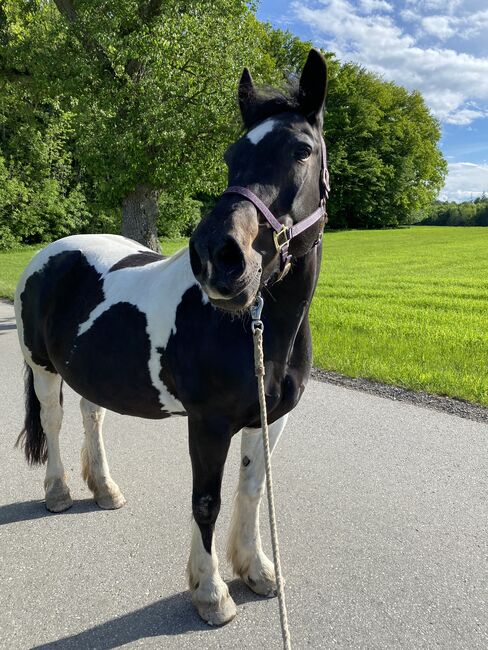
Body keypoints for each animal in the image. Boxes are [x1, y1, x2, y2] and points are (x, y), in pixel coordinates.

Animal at [14, 48, 328, 624]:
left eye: (301, 149)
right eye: (230, 155)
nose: (219, 258)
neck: (260, 331)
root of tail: (50, 253)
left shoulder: (271, 419)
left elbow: (252, 488)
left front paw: (257, 570)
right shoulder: (207, 425)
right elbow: (207, 501)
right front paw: (211, 592)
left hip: (91, 372)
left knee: (92, 416)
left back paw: (105, 488)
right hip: (43, 368)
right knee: (53, 421)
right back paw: (59, 491)